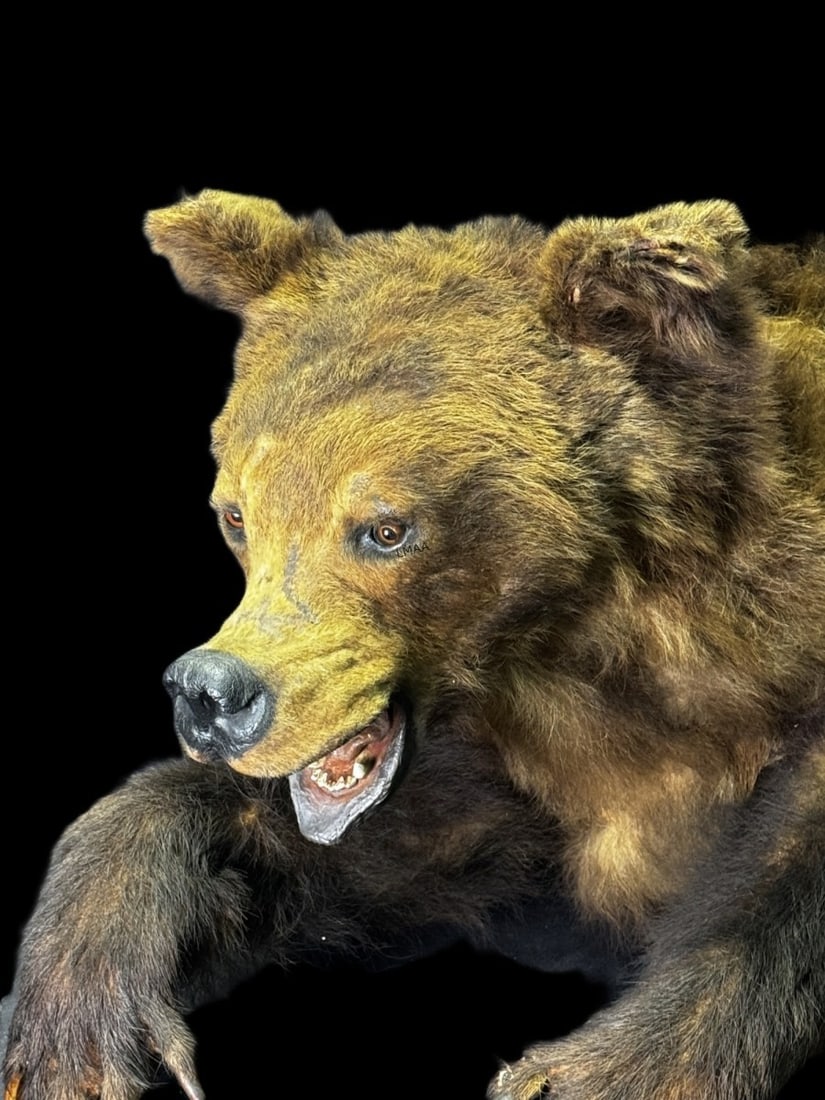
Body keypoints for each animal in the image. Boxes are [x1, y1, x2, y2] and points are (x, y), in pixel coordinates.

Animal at [2, 191, 823, 1100]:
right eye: (236, 514)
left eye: (386, 528)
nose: (210, 693)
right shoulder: (517, 789)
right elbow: (385, 855)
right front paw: (74, 1028)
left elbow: (779, 880)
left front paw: (586, 1072)